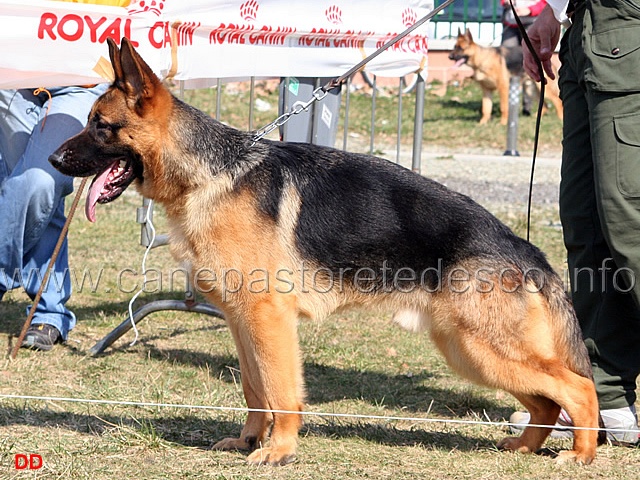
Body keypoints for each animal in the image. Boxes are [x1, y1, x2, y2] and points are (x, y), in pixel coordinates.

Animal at [50, 37, 600, 464]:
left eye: (100, 125)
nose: (54, 159)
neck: (211, 174)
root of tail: (527, 251)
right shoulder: (241, 320)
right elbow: (254, 389)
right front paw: (250, 440)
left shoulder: (269, 319)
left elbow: (280, 390)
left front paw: (278, 450)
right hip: (469, 351)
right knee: (547, 402)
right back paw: (524, 447)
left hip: (483, 348)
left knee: (578, 387)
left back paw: (581, 453)